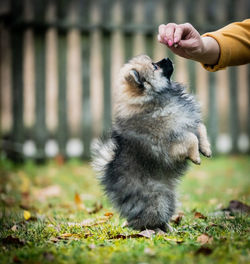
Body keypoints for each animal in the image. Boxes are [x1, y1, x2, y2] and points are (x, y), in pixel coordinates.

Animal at [92, 54, 211, 232]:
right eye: (155, 67)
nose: (167, 57)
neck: (154, 99)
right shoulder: (171, 144)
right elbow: (191, 138)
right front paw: (196, 156)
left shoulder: (188, 122)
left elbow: (200, 129)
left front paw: (206, 149)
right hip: (157, 199)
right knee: (147, 220)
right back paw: (154, 231)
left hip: (169, 197)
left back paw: (170, 229)